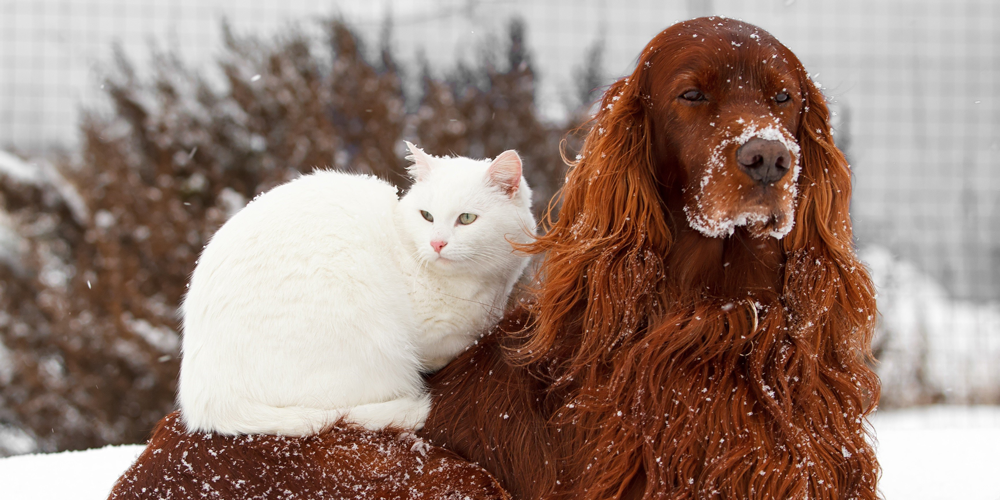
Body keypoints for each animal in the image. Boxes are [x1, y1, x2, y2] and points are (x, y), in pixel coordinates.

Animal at [180, 143, 540, 436]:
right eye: (426, 216)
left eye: (466, 219)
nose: (437, 243)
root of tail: (205, 401)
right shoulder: (436, 339)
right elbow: (462, 342)